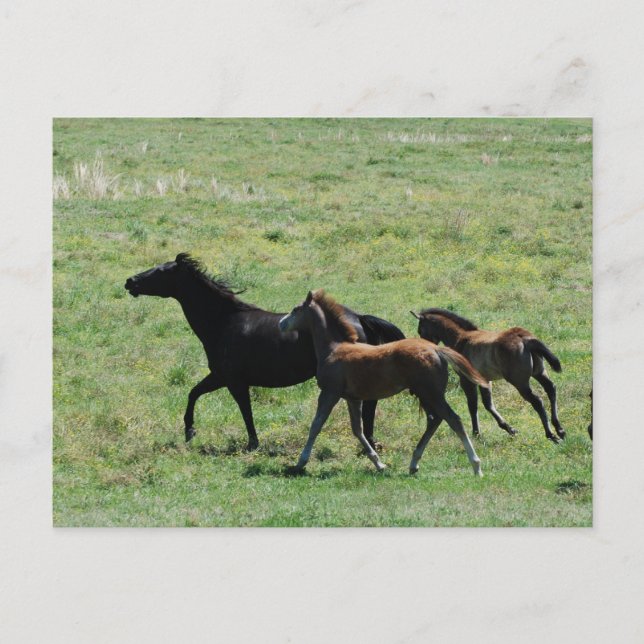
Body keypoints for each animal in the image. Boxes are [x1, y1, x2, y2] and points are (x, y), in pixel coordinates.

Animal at [124, 253, 404, 451]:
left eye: (160, 271)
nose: (130, 282)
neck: (223, 322)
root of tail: (359, 318)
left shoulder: (233, 381)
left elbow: (244, 410)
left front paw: (251, 443)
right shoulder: (219, 377)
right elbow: (194, 393)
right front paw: (190, 431)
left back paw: (369, 441)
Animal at [279, 290, 489, 476]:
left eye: (296, 309)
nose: (281, 324)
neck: (334, 348)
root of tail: (436, 349)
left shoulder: (330, 392)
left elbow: (316, 424)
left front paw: (300, 463)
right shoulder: (353, 398)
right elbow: (358, 429)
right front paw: (379, 464)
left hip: (431, 393)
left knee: (453, 419)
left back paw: (476, 466)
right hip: (426, 394)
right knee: (435, 420)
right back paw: (413, 464)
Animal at [411, 308, 564, 443]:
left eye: (420, 330)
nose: (424, 348)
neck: (461, 338)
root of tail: (524, 338)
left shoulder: (466, 380)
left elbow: (473, 406)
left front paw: (476, 433)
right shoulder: (485, 380)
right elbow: (488, 404)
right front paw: (509, 429)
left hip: (520, 382)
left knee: (537, 401)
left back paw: (550, 434)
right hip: (540, 373)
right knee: (551, 389)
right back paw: (560, 429)